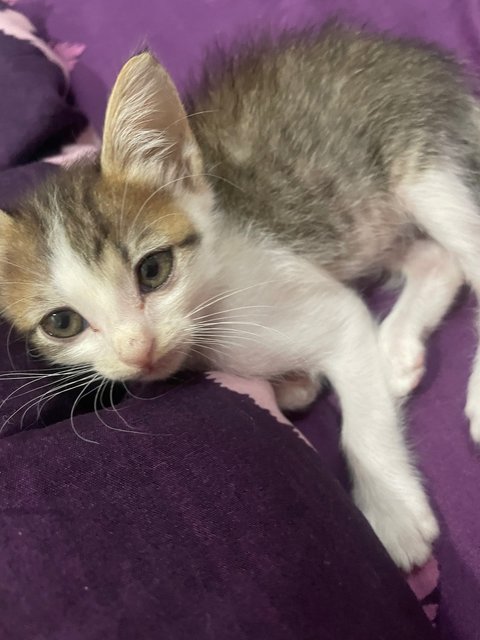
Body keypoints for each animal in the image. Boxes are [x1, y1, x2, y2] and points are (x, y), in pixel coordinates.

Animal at [1, 21, 478, 568]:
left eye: (153, 270)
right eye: (62, 323)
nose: (138, 349)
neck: (212, 311)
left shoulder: (327, 309)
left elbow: (362, 415)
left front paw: (392, 512)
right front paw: (299, 383)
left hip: (419, 159)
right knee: (437, 259)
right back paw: (397, 350)